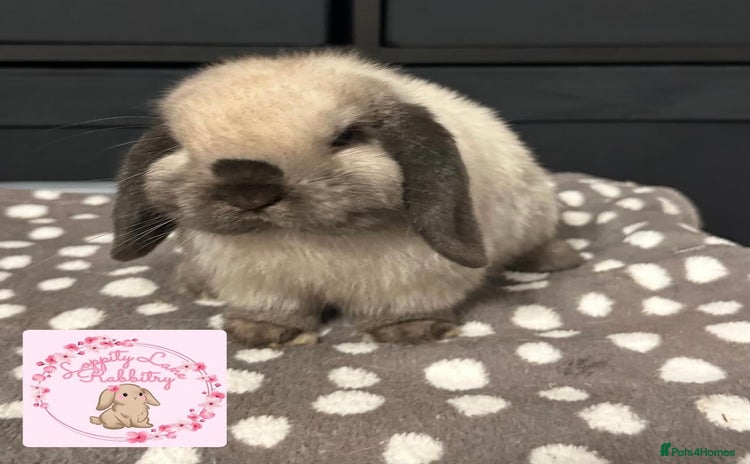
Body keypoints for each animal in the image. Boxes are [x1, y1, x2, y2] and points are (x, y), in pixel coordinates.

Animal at [110, 51, 582, 346]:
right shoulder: (257, 282)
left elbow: (407, 306)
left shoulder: (415, 280)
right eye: (181, 145)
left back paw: (559, 260)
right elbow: (270, 308)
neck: (309, 239)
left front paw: (414, 333)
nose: (248, 185)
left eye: (346, 137)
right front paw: (264, 335)